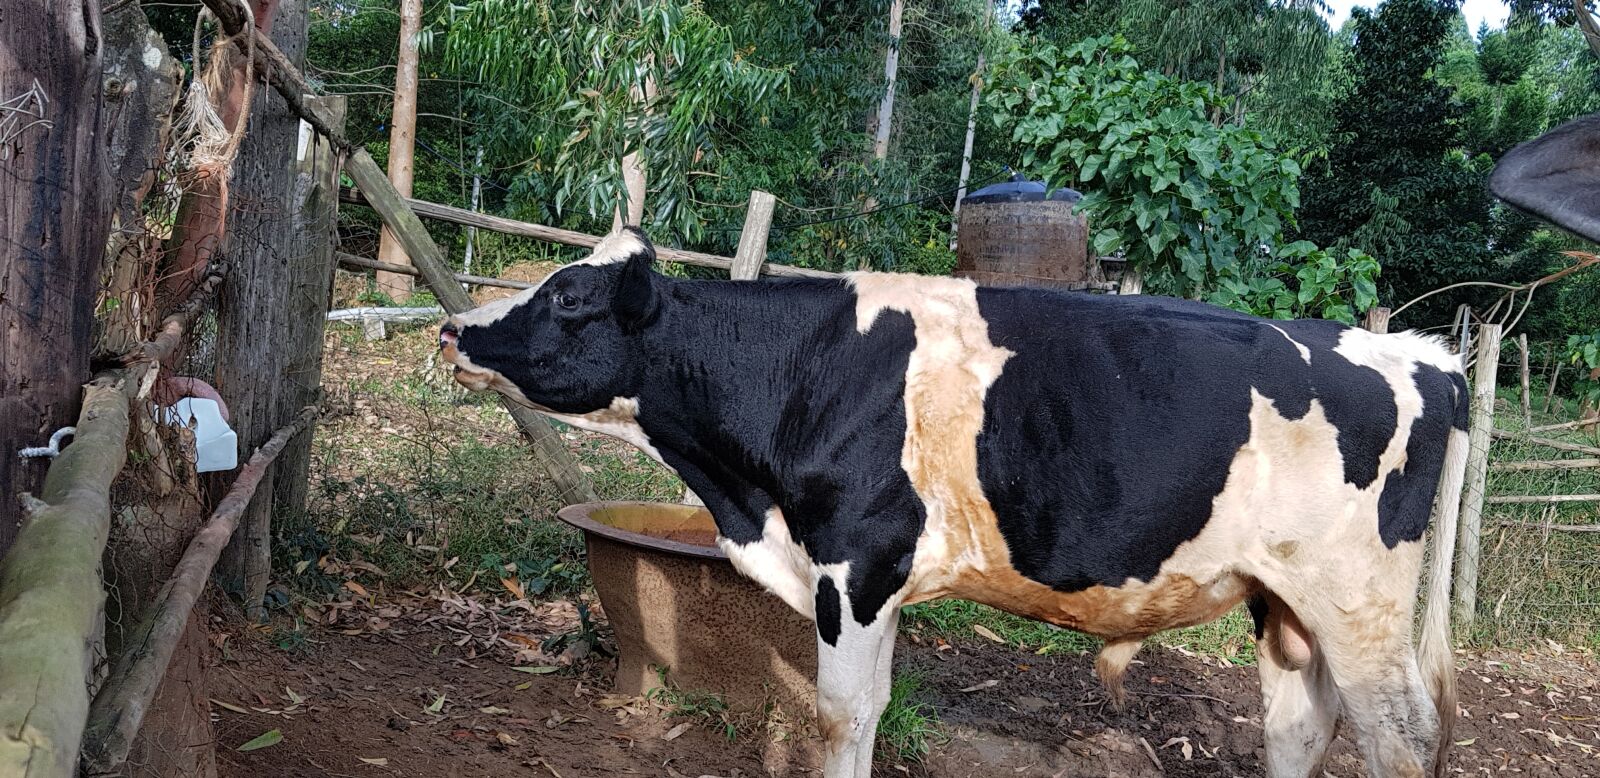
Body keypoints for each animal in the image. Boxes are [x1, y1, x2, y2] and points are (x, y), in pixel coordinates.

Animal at [438, 227, 1472, 778]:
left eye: (569, 296)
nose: (453, 329)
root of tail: (1421, 355)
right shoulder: (879, 579)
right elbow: (871, 706)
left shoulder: (856, 558)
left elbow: (840, 713)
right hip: (1288, 603)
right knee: (1302, 726)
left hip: (1359, 601)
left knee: (1402, 736)